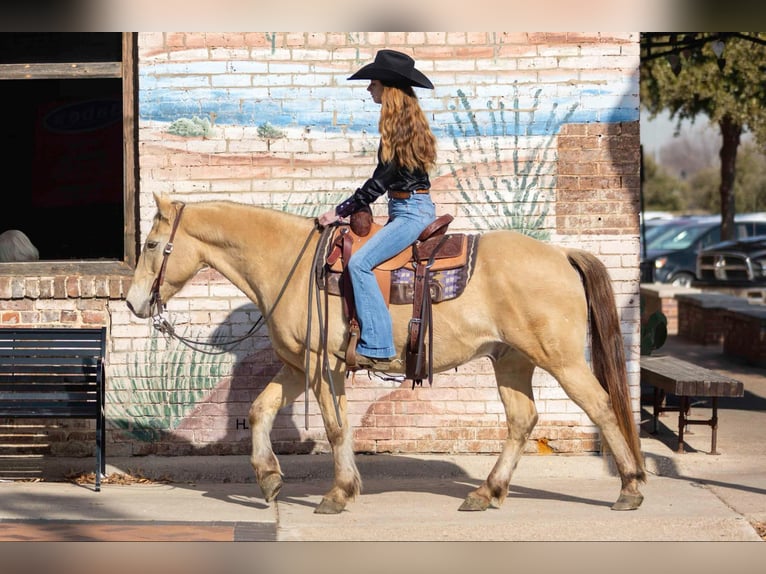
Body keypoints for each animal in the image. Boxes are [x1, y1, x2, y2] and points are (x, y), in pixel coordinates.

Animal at [127, 196, 648, 516]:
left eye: (152, 244)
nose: (133, 303)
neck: (290, 262)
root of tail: (561, 255)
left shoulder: (322, 366)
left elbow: (336, 427)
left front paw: (338, 493)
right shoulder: (299, 365)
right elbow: (259, 411)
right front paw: (270, 480)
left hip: (562, 361)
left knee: (602, 407)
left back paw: (629, 487)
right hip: (511, 361)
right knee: (523, 421)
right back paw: (486, 492)